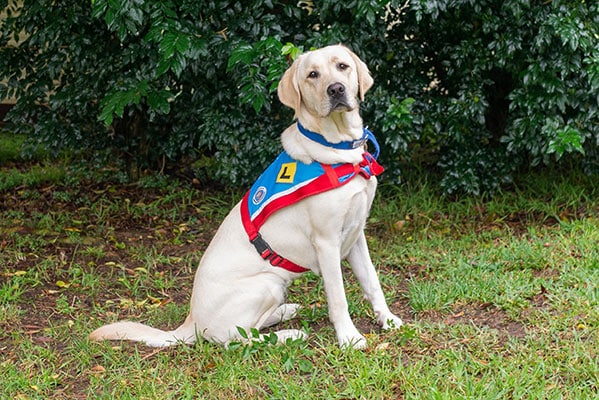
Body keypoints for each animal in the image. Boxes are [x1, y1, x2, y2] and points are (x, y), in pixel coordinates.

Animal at [90, 44, 404, 350]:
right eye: (313, 75)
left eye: (342, 66)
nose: (336, 89)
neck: (338, 149)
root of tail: (191, 322)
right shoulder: (326, 243)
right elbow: (338, 298)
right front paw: (349, 337)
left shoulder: (356, 234)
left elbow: (372, 281)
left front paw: (387, 319)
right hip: (267, 283)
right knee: (238, 339)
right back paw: (288, 335)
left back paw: (286, 312)